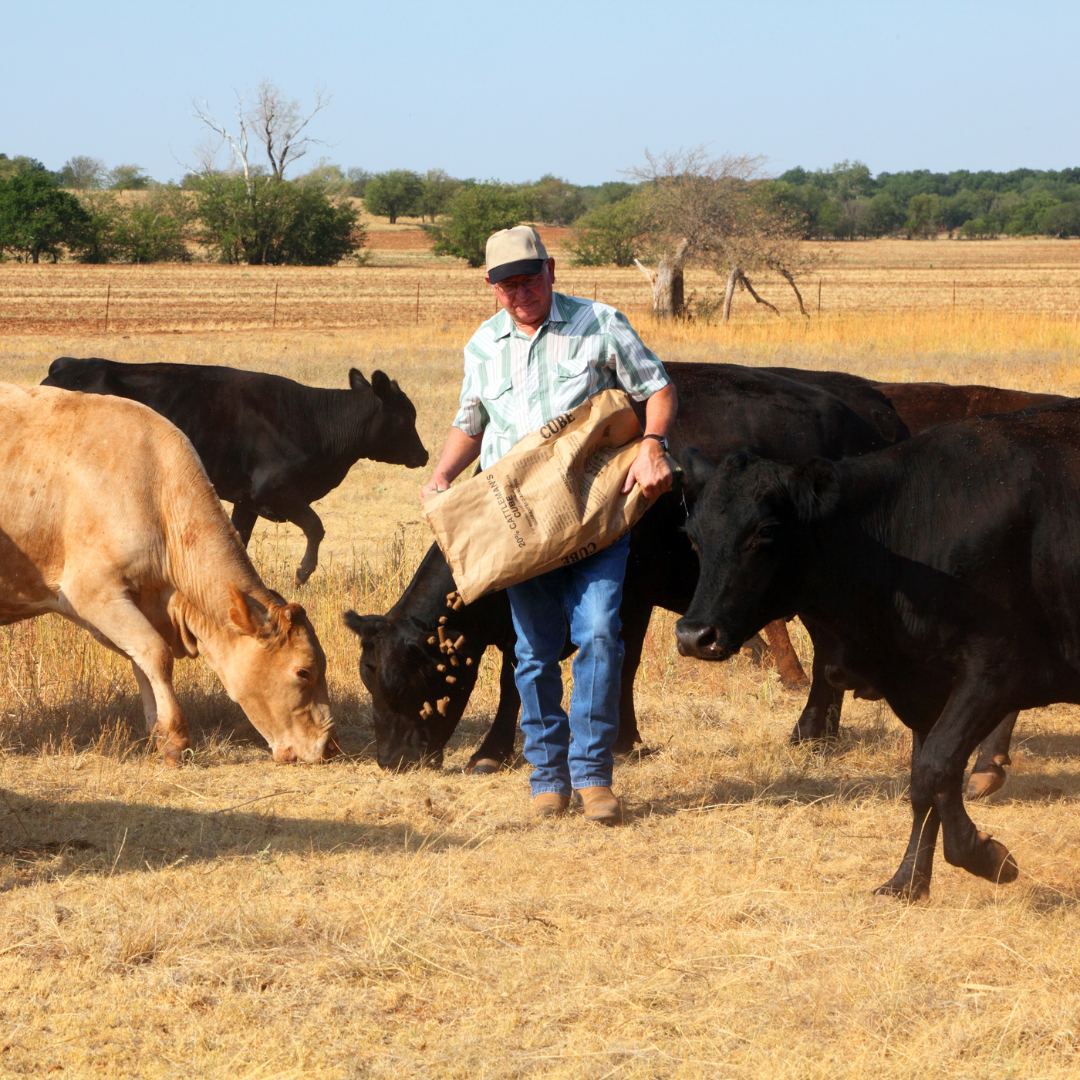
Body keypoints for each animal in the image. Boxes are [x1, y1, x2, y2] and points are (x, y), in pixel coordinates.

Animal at [0, 384, 336, 764]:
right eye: (303, 671)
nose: (330, 746)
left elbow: (142, 660)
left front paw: (158, 734)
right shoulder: (92, 592)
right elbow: (156, 654)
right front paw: (176, 737)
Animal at [42, 358, 429, 583]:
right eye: (407, 416)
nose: (424, 455)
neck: (314, 421)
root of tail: (64, 367)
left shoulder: (248, 500)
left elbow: (239, 539)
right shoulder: (275, 490)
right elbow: (316, 527)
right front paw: (302, 573)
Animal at [345, 367, 902, 773]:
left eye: (404, 685)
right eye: (369, 684)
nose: (390, 761)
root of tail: (872, 412)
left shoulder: (630, 595)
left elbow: (615, 666)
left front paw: (617, 741)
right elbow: (523, 675)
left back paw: (810, 728)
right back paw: (820, 731)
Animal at [673, 401, 1080, 898]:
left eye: (764, 532)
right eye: (693, 535)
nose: (694, 634)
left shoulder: (996, 674)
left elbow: (935, 768)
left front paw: (987, 857)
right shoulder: (925, 685)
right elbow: (922, 783)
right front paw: (908, 882)